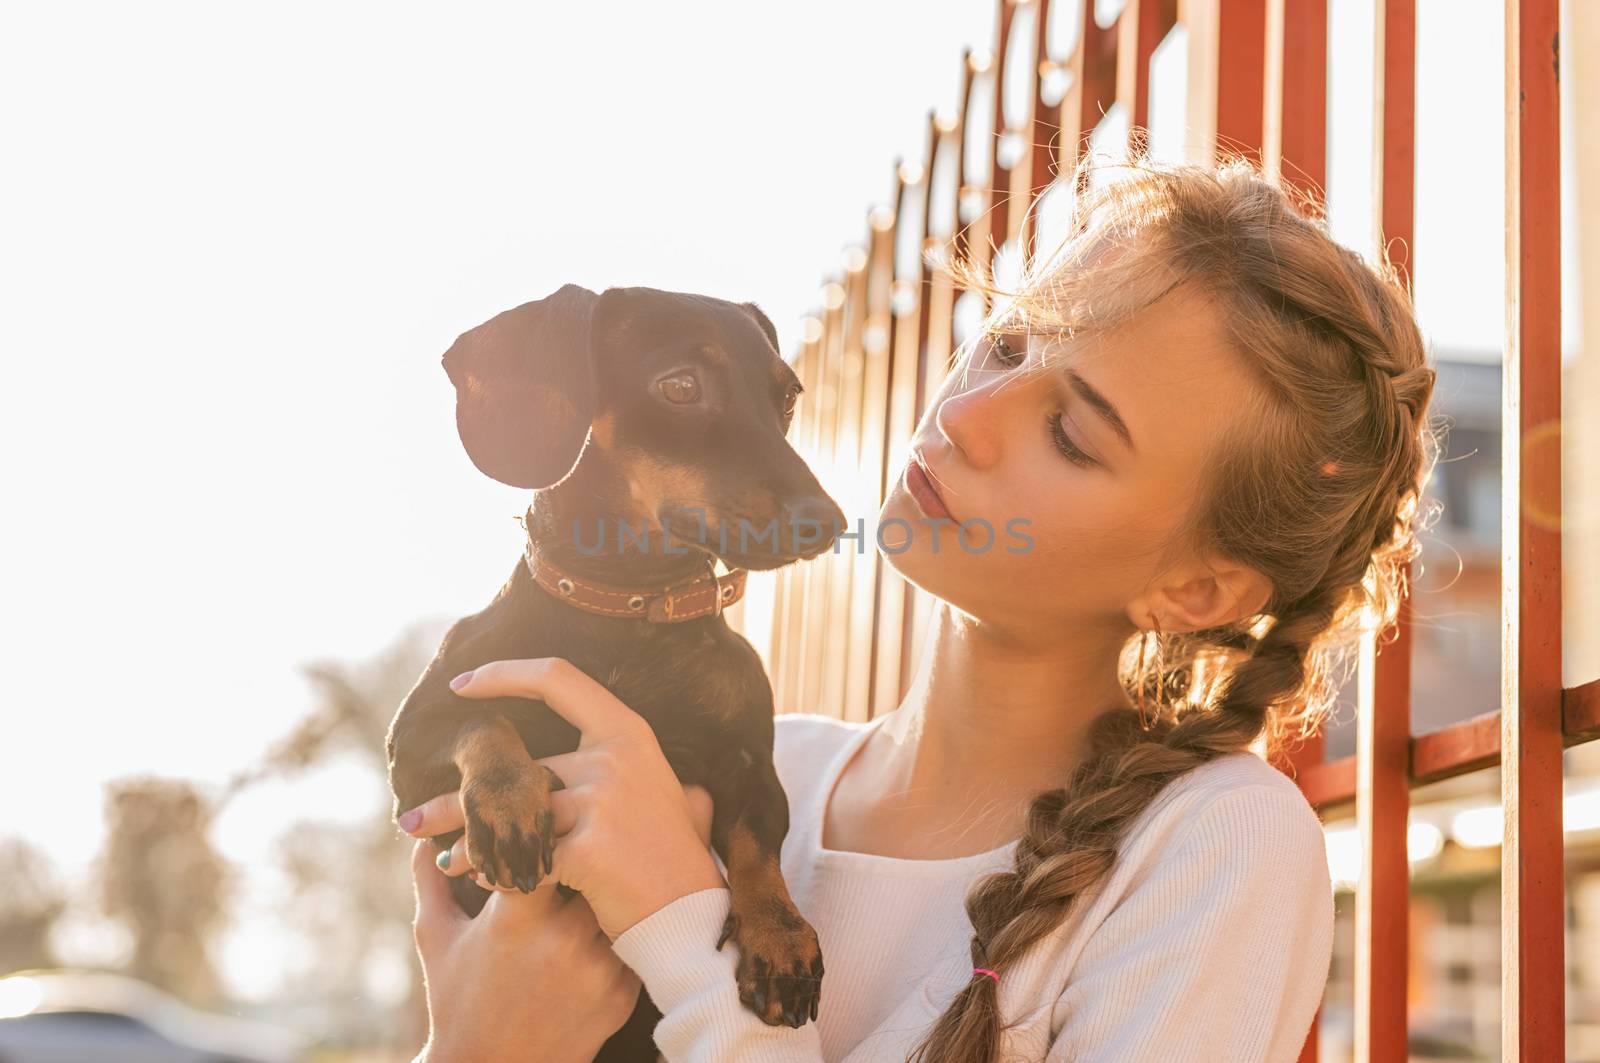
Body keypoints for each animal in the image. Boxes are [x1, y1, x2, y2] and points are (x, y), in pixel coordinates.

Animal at [387, 281, 844, 1056]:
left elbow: (759, 841)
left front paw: (781, 938)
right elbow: (482, 717)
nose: (830, 522)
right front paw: (510, 804)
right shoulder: (412, 760)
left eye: (786, 394)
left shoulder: (749, 761)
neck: (626, 614)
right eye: (681, 386)